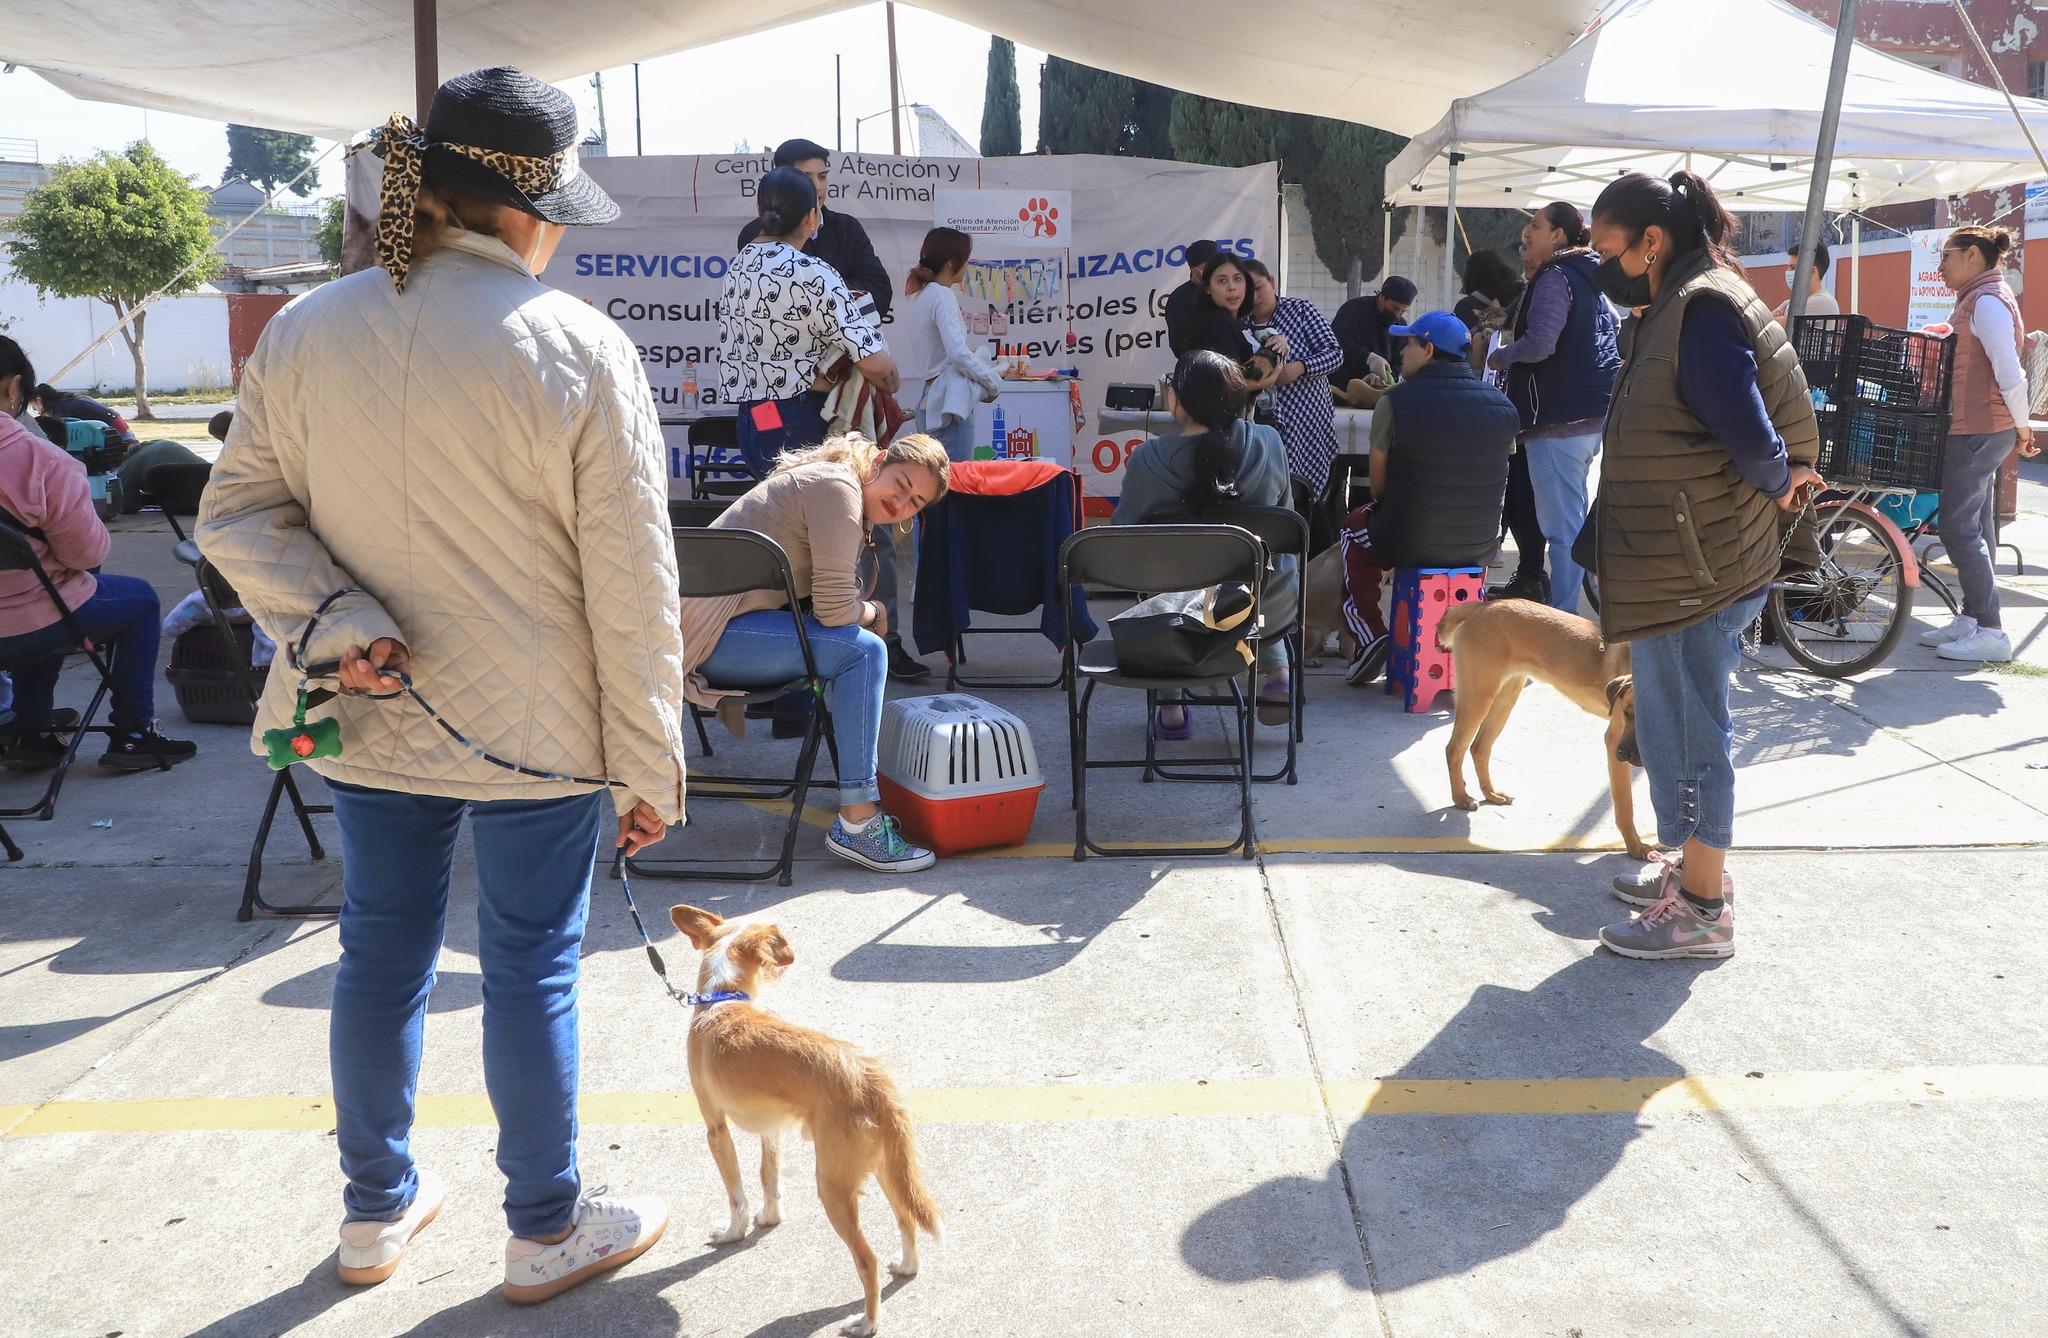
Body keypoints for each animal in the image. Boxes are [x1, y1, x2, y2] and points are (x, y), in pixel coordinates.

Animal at [667, 901, 937, 1327]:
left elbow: (736, 1193)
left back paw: (866, 1324)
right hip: (885, 1167)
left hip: (833, 1188)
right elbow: (769, 1177)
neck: (722, 1000)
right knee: (906, 1220)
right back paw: (907, 1267)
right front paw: (769, 1217)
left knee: (867, 1260)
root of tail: (870, 1077)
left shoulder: (716, 1128)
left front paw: (733, 1232)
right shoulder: (772, 1129)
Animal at [1433, 594, 1654, 856]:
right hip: (1479, 696)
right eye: (1627, 713)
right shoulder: (1614, 740)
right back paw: (1461, 798)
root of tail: (1479, 606)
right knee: (1454, 748)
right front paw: (1635, 846)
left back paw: (1492, 793)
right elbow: (1625, 806)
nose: (1625, 753)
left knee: (1479, 747)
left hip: (1506, 697)